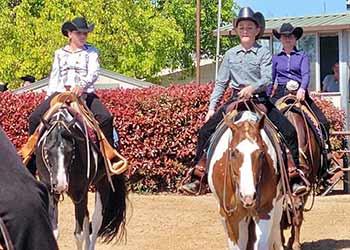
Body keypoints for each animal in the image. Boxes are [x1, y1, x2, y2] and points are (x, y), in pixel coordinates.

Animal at [36, 107, 126, 250]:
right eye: (47, 149)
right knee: (87, 217)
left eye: (71, 150)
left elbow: (79, 235)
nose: (60, 184)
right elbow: (54, 231)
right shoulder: (51, 192)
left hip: (103, 183)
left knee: (96, 221)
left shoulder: (79, 194)